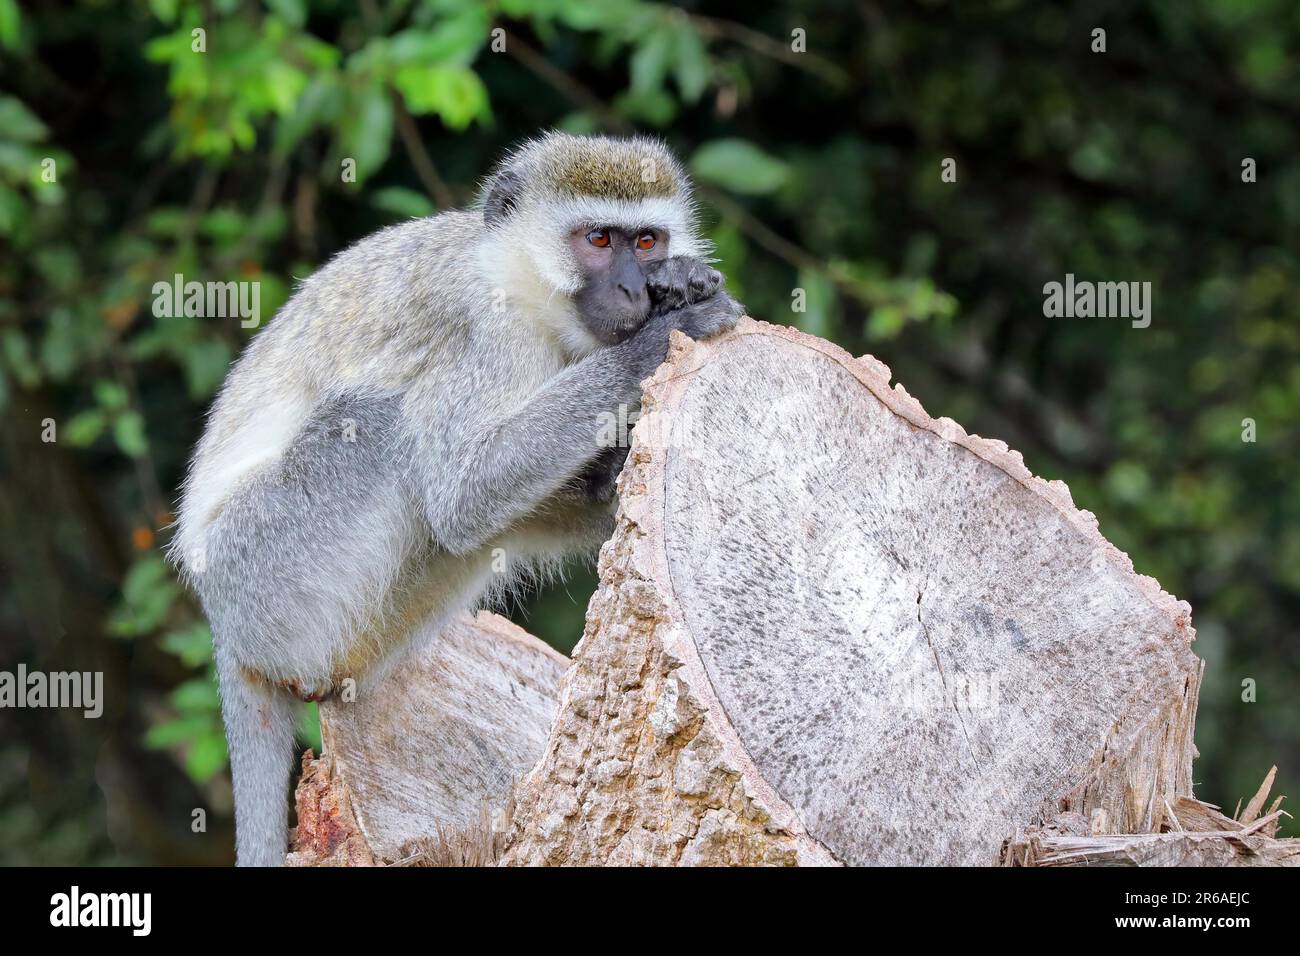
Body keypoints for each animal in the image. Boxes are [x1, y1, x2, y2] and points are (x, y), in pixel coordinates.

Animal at [171, 134, 743, 868]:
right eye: (597, 239)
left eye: (646, 241)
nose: (633, 287)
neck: (521, 287)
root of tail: (223, 625)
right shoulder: (483, 333)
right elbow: (463, 496)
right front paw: (657, 339)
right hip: (266, 571)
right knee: (379, 424)